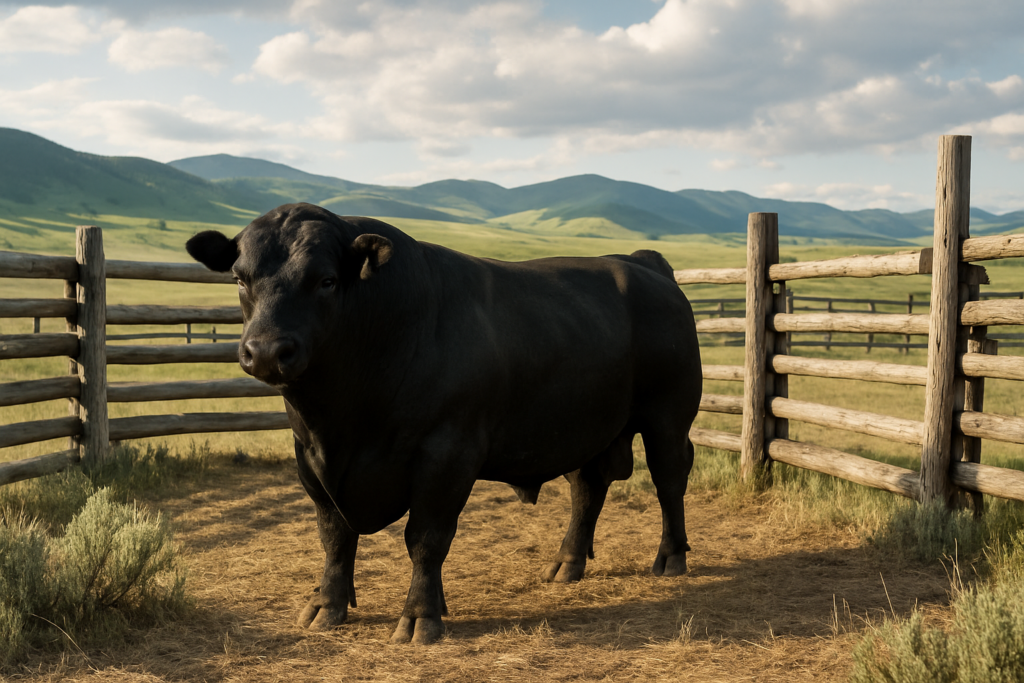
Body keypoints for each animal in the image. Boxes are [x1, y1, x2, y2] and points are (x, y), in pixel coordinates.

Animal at [186, 202, 702, 645]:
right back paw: (566, 563)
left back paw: (671, 556)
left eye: (327, 280)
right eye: (239, 278)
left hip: (668, 417)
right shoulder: (310, 457)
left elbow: (426, 538)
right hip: (585, 428)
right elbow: (334, 535)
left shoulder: (447, 454)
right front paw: (326, 605)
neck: (343, 420)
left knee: (669, 479)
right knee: (587, 489)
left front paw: (421, 616)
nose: (267, 351)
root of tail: (639, 262)